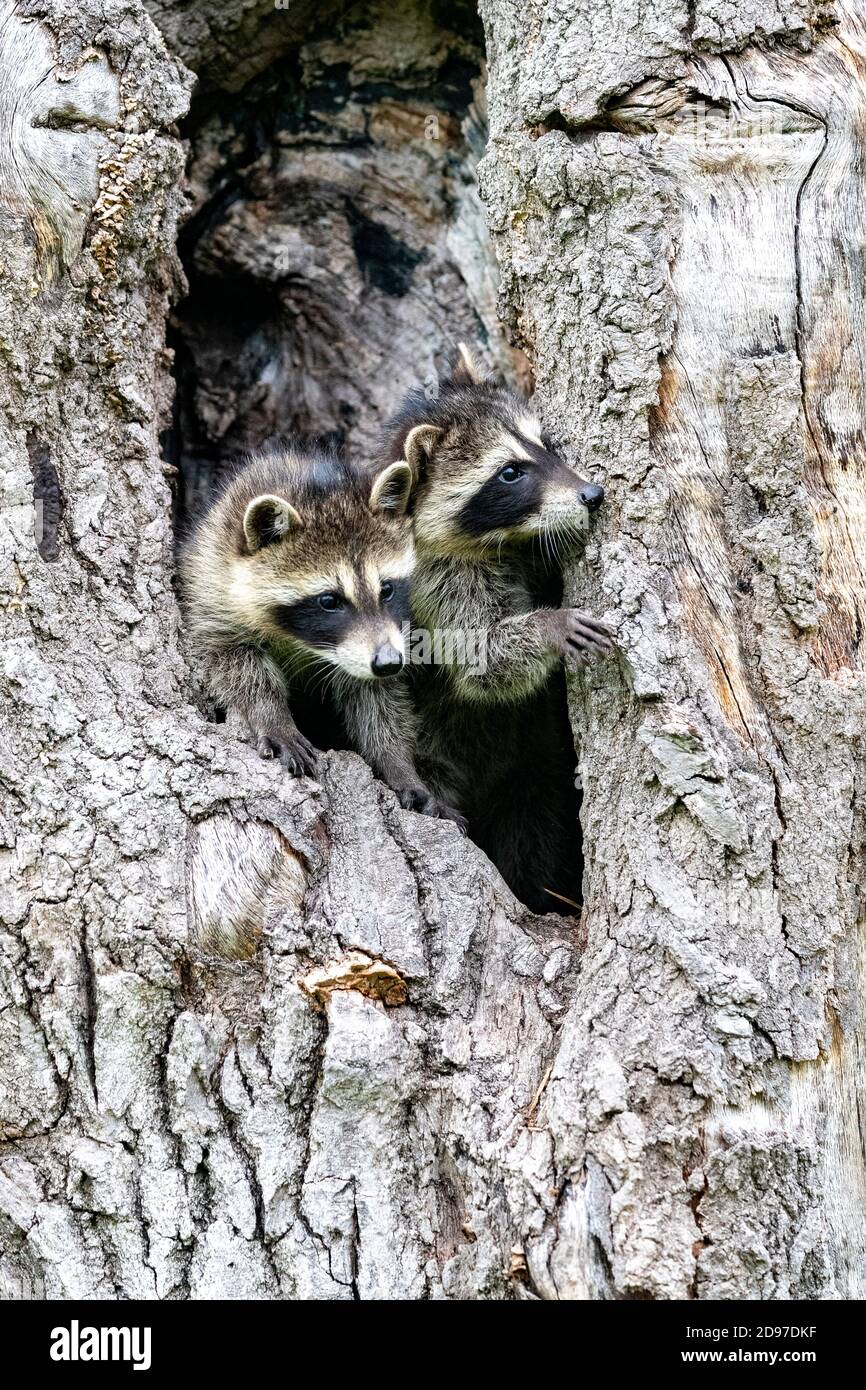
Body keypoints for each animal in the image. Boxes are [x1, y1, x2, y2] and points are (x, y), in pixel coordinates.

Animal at [180, 444, 458, 820]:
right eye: (329, 600)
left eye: (386, 589)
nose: (389, 662)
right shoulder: (213, 585)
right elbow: (237, 665)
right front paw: (273, 717)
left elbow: (378, 702)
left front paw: (398, 765)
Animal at [380, 347, 613, 912]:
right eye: (510, 473)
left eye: (545, 443)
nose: (592, 493)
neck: (499, 543)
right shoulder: (436, 586)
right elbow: (480, 663)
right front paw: (551, 625)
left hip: (532, 762)